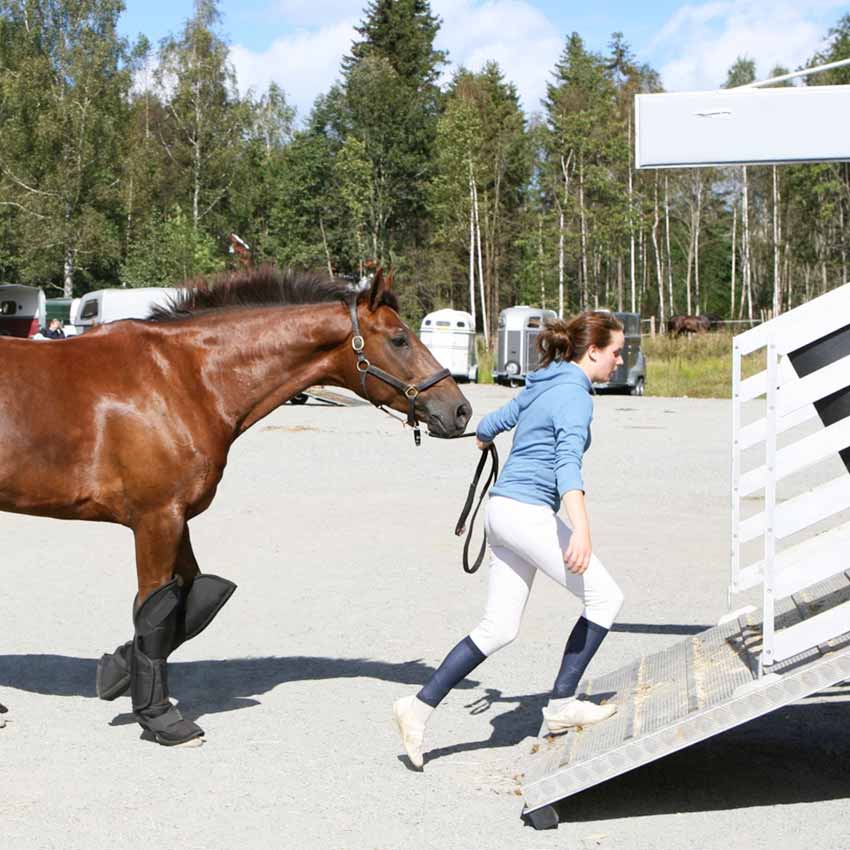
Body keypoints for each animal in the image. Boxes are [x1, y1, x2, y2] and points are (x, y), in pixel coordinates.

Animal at [0, 264, 470, 744]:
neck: (182, 378)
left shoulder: (179, 519)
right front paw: (160, 718)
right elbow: (155, 610)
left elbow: (195, 600)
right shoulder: (156, 519)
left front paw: (114, 670)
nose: (460, 410)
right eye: (399, 339)